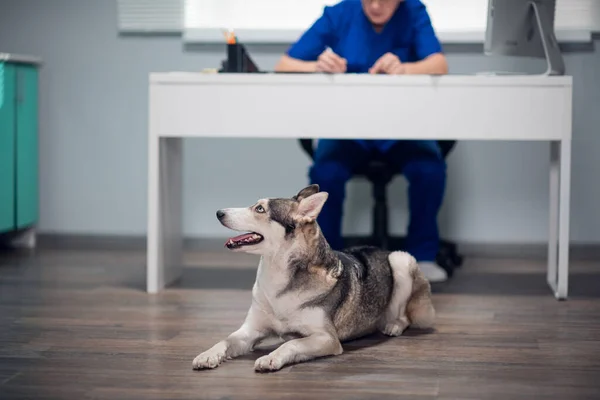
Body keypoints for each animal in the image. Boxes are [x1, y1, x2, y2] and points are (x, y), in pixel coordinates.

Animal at [195, 184, 434, 372]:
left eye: (260, 209)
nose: (219, 212)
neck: (277, 274)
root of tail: (381, 248)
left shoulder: (327, 339)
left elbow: (290, 344)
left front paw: (271, 358)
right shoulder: (250, 331)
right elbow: (225, 339)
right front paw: (207, 354)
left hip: (401, 260)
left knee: (406, 315)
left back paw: (393, 325)